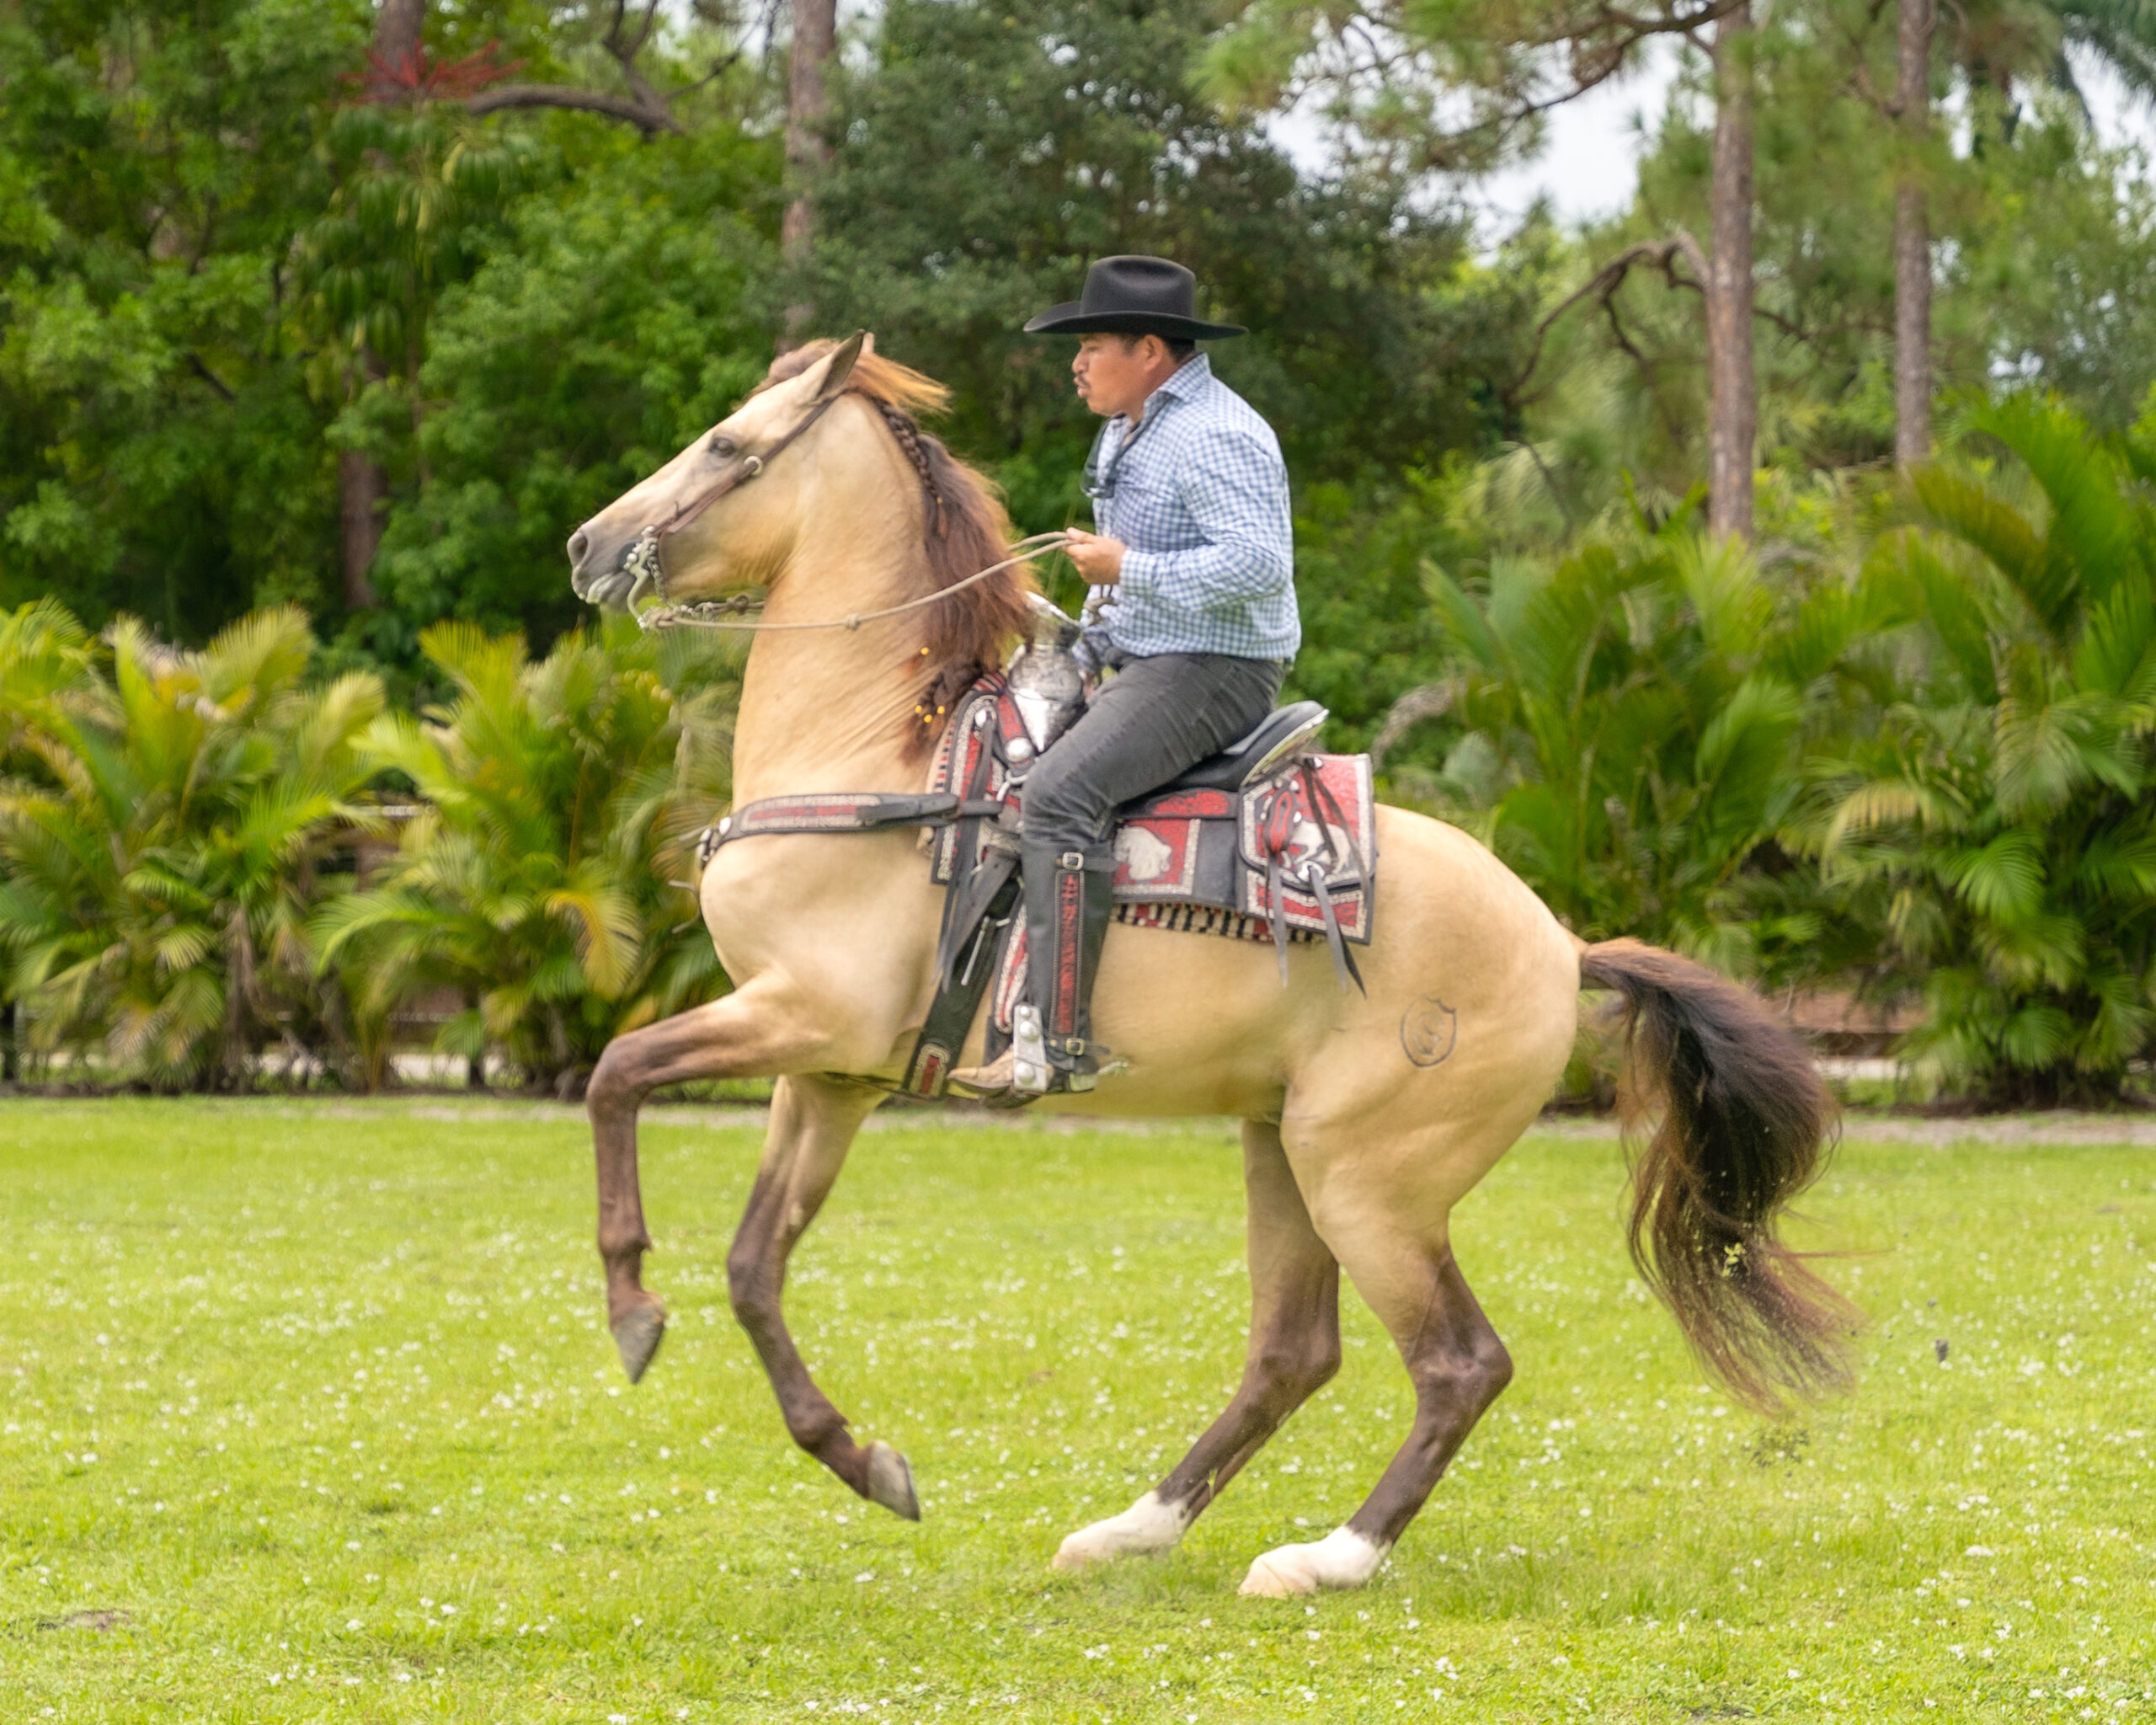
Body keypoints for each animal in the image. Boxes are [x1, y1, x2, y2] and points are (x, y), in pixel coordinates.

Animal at [563, 332, 1857, 1597]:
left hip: (1367, 1180)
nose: (589, 545)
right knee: (1293, 1352)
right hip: (1281, 1147)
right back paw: (1128, 1532)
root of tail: (1563, 945)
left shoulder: (802, 1015)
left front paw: (630, 1310)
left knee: (1457, 1362)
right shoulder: (832, 1073)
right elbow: (753, 1267)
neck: (886, 761)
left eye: (726, 441)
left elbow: (617, 1071)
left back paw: (1326, 1557)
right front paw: (865, 1460)